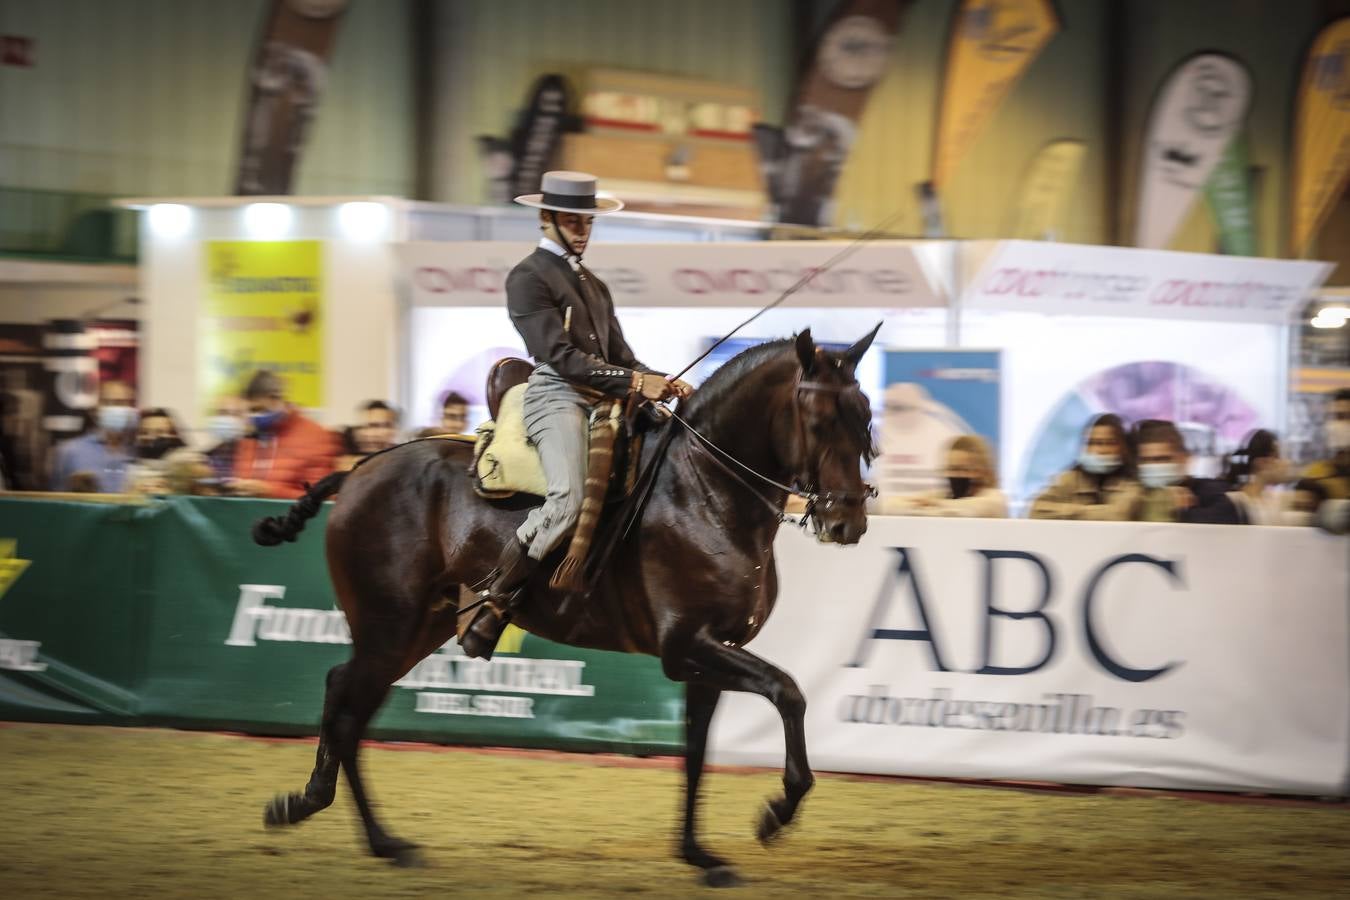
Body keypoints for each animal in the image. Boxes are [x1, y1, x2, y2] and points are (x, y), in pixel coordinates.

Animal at [256, 327, 880, 885]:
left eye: (866, 416)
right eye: (821, 421)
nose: (847, 521)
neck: (707, 492)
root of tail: (359, 470)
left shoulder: (708, 657)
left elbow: (697, 750)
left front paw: (698, 855)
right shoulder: (688, 647)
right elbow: (789, 693)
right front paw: (777, 813)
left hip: (415, 630)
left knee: (350, 703)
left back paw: (371, 836)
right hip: (388, 626)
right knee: (344, 702)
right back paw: (330, 813)